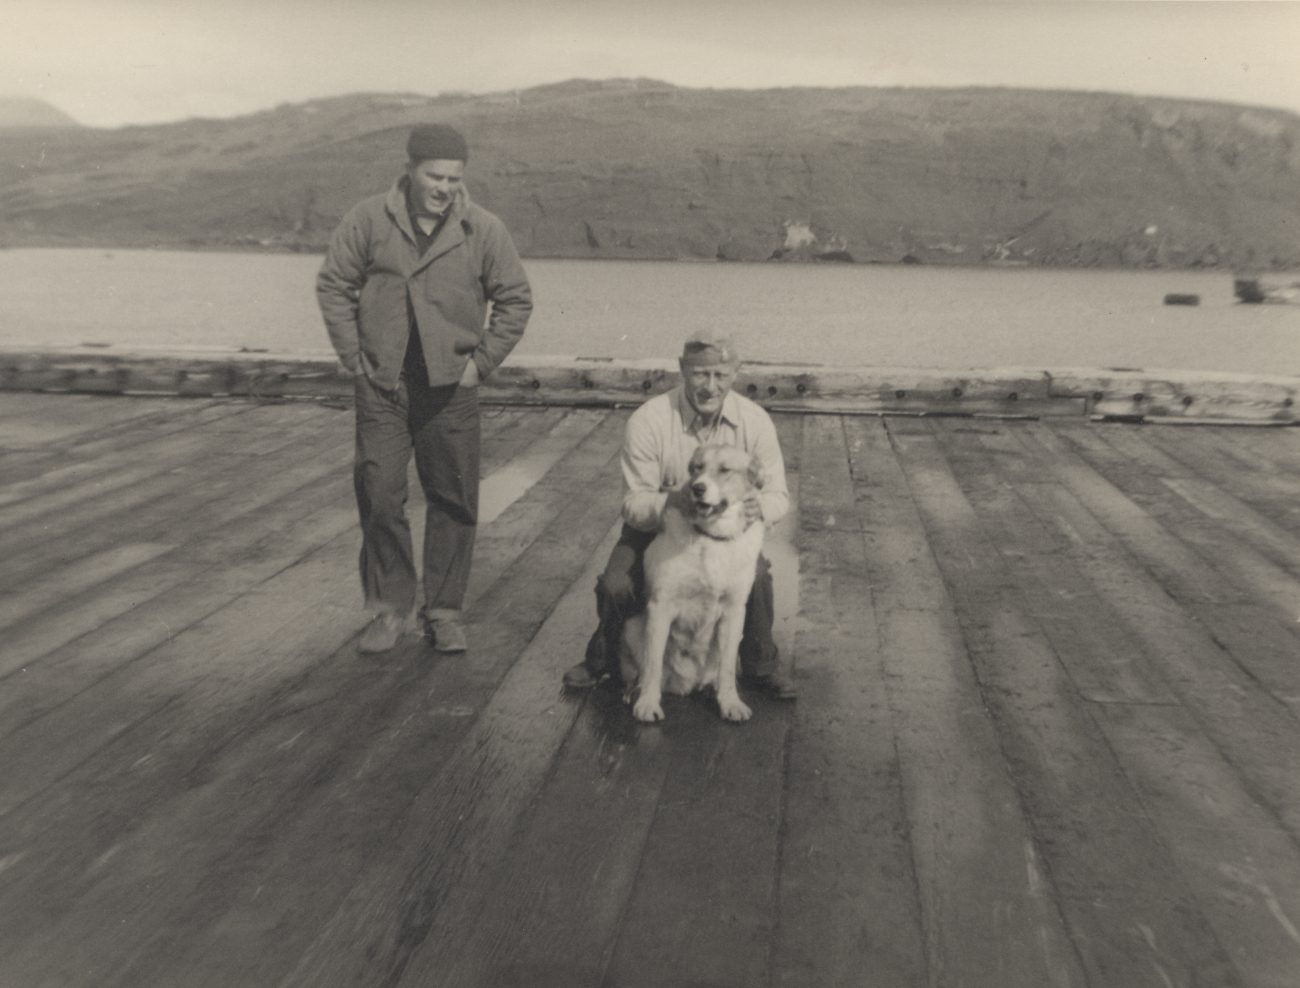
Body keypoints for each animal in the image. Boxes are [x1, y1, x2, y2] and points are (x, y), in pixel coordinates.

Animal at [616, 444, 759, 722]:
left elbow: (726, 667)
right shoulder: (661, 606)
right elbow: (652, 664)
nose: (697, 488)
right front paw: (648, 704)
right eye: (697, 468)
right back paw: (634, 692)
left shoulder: (734, 611)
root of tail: (687, 685)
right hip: (631, 626)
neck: (711, 538)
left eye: (724, 470)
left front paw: (730, 702)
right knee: (642, 671)